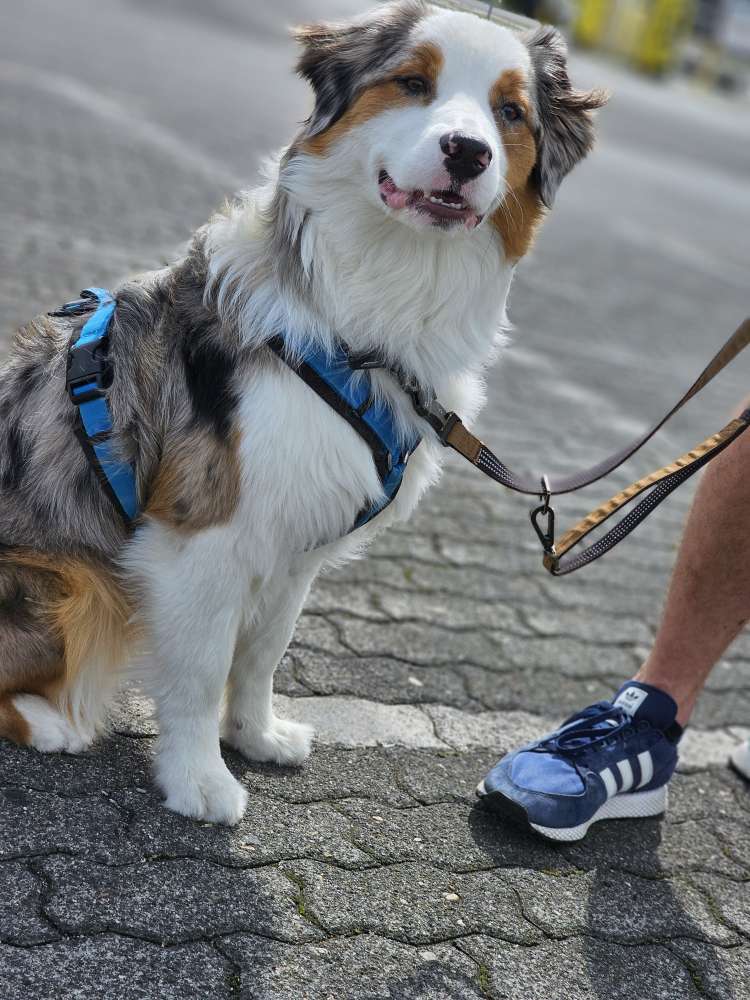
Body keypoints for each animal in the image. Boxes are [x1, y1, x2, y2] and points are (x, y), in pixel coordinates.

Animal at [0, 3, 604, 824]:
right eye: (414, 83)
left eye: (510, 112)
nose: (467, 152)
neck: (377, 313)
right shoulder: (202, 533)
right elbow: (200, 669)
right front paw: (198, 779)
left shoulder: (297, 542)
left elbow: (263, 652)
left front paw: (256, 736)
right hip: (73, 584)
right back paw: (53, 723)